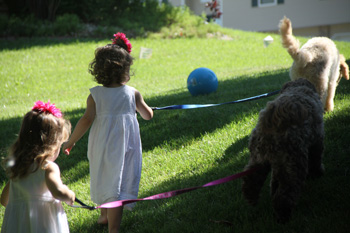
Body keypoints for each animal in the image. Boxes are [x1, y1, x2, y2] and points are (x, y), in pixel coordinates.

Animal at [242, 78, 324, 224]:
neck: (298, 87)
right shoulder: (317, 140)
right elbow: (316, 159)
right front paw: (318, 173)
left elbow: (274, 181)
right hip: (293, 163)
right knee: (285, 194)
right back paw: (283, 216)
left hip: (259, 158)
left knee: (252, 178)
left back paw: (251, 197)